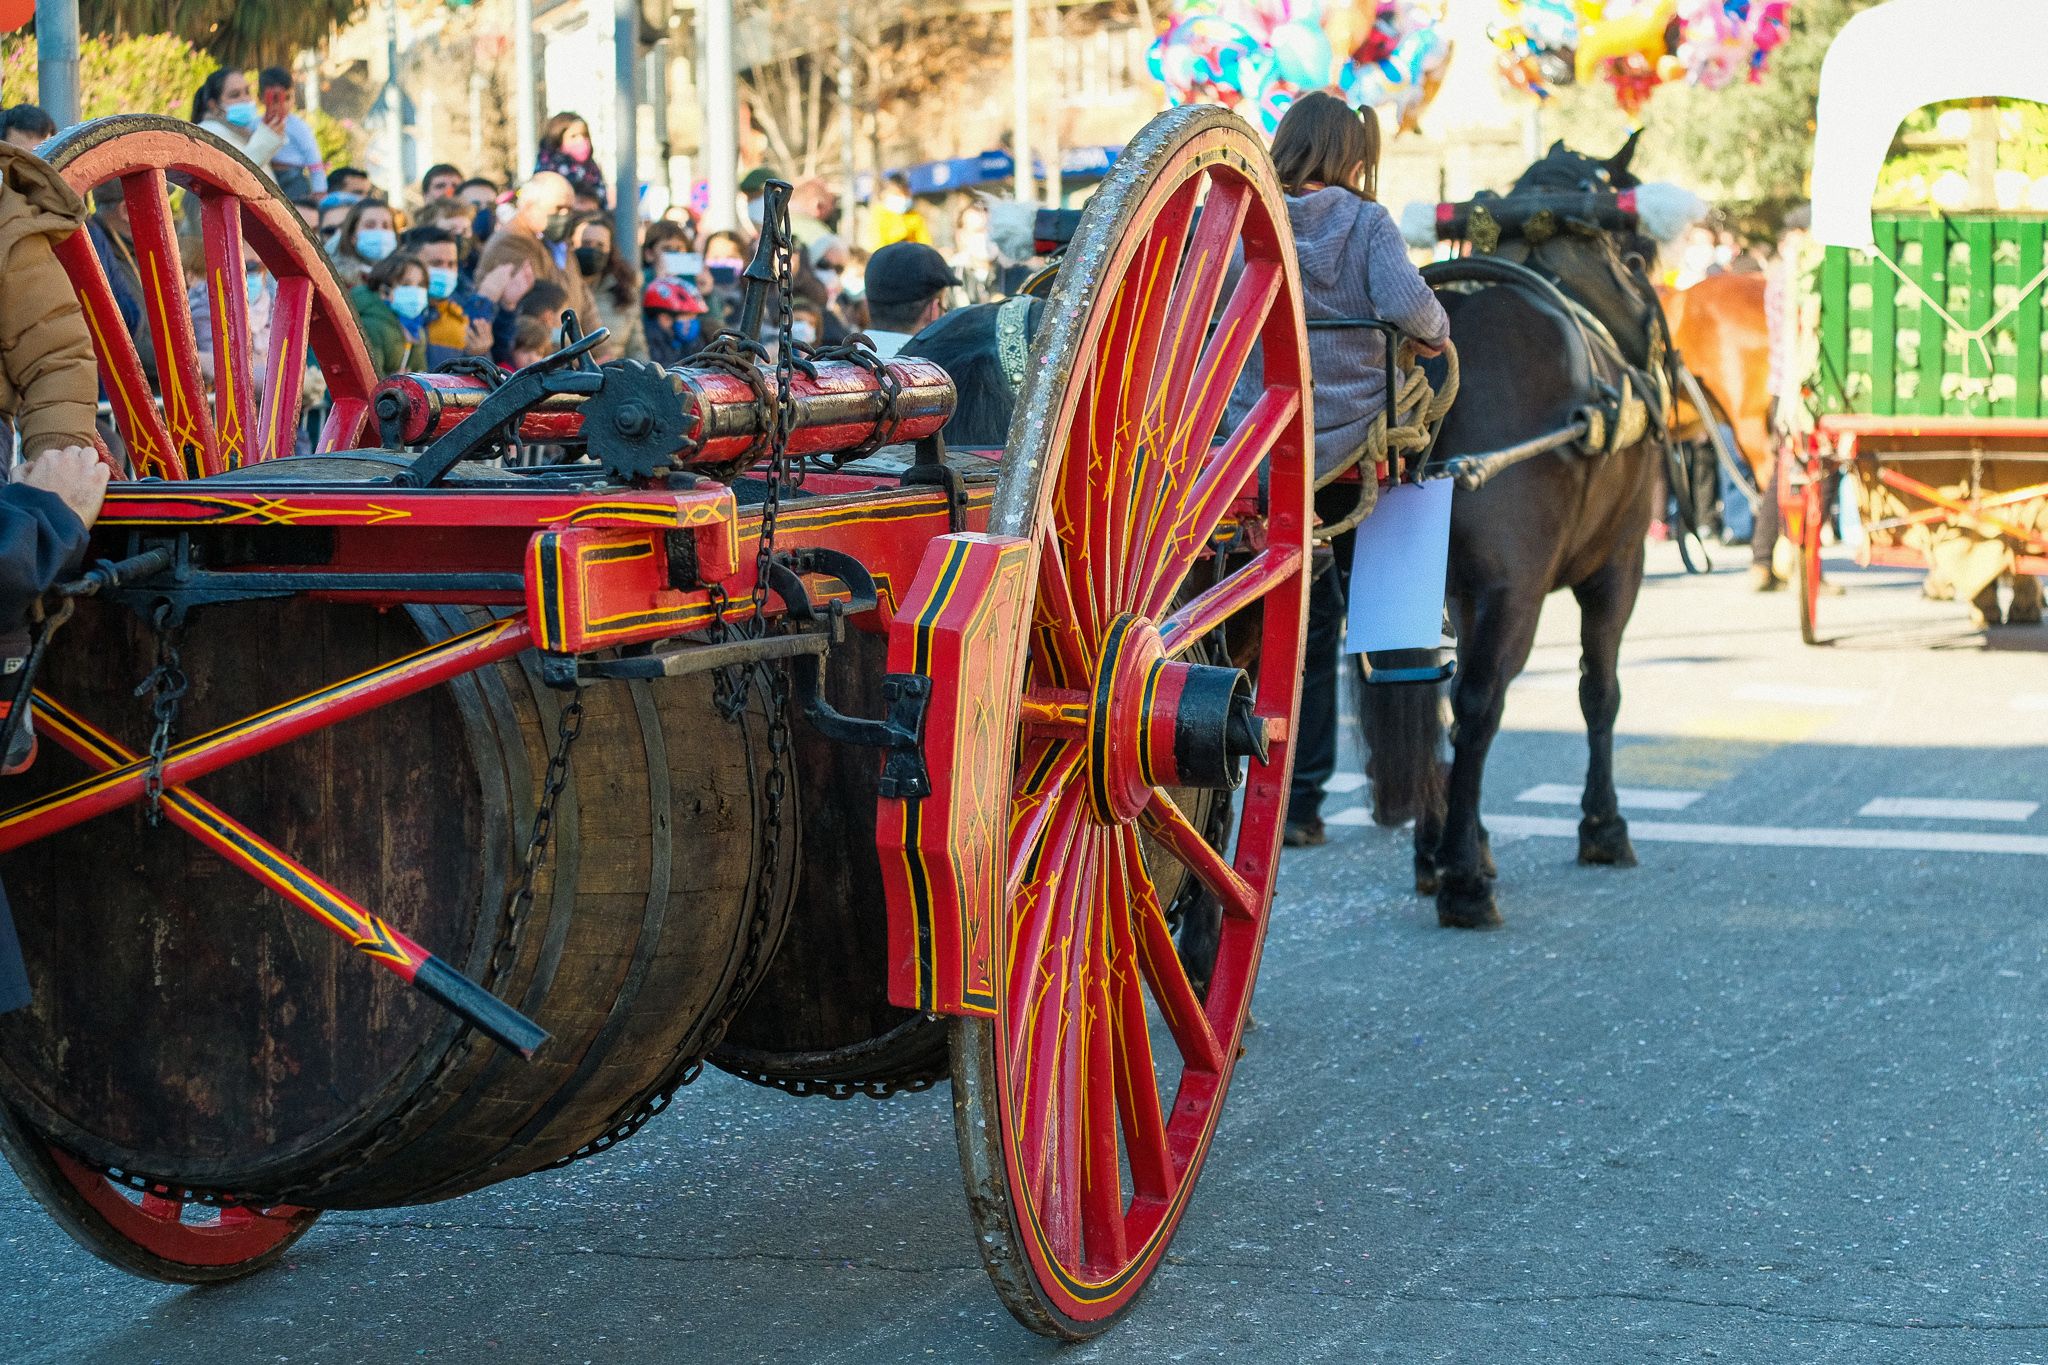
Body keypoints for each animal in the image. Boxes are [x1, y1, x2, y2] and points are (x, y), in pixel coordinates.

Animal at [1359, 139, 1679, 929]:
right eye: (1639, 255)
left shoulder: (1461, 592)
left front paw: (1458, 835)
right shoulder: (1617, 566)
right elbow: (1600, 691)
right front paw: (1602, 825)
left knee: (1442, 703)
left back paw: (1441, 851)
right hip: (1524, 591)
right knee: (1480, 703)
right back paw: (1465, 881)